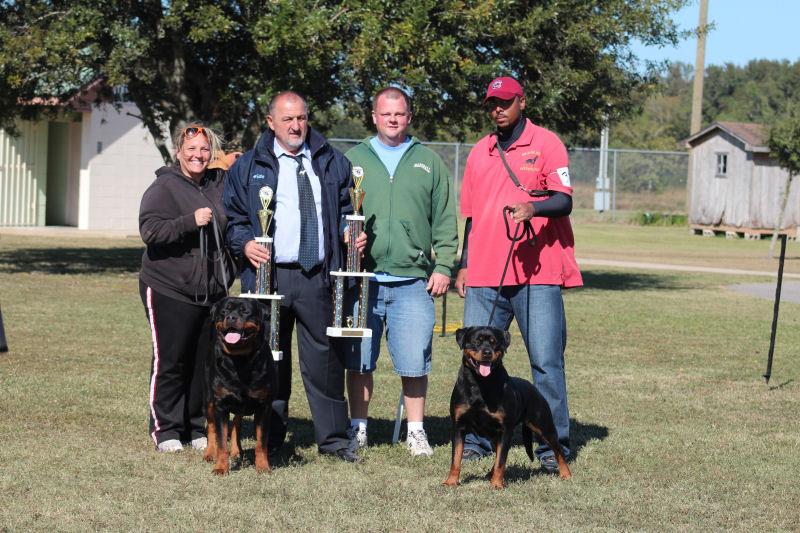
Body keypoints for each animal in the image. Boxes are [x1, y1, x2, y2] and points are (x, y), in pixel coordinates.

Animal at [205, 296, 274, 474]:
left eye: (245, 312)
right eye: (224, 311)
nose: (231, 317)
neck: (240, 359)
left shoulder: (264, 406)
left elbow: (261, 442)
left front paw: (263, 466)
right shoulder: (220, 405)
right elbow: (222, 441)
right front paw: (221, 468)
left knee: (237, 422)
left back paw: (236, 451)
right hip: (209, 400)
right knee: (211, 426)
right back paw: (209, 453)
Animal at [444, 324, 568, 486]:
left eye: (494, 342)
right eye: (476, 341)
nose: (487, 352)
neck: (480, 383)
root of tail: (533, 388)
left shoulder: (505, 430)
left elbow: (501, 461)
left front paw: (497, 484)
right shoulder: (459, 426)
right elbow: (456, 458)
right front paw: (451, 481)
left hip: (543, 425)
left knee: (558, 449)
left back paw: (566, 474)